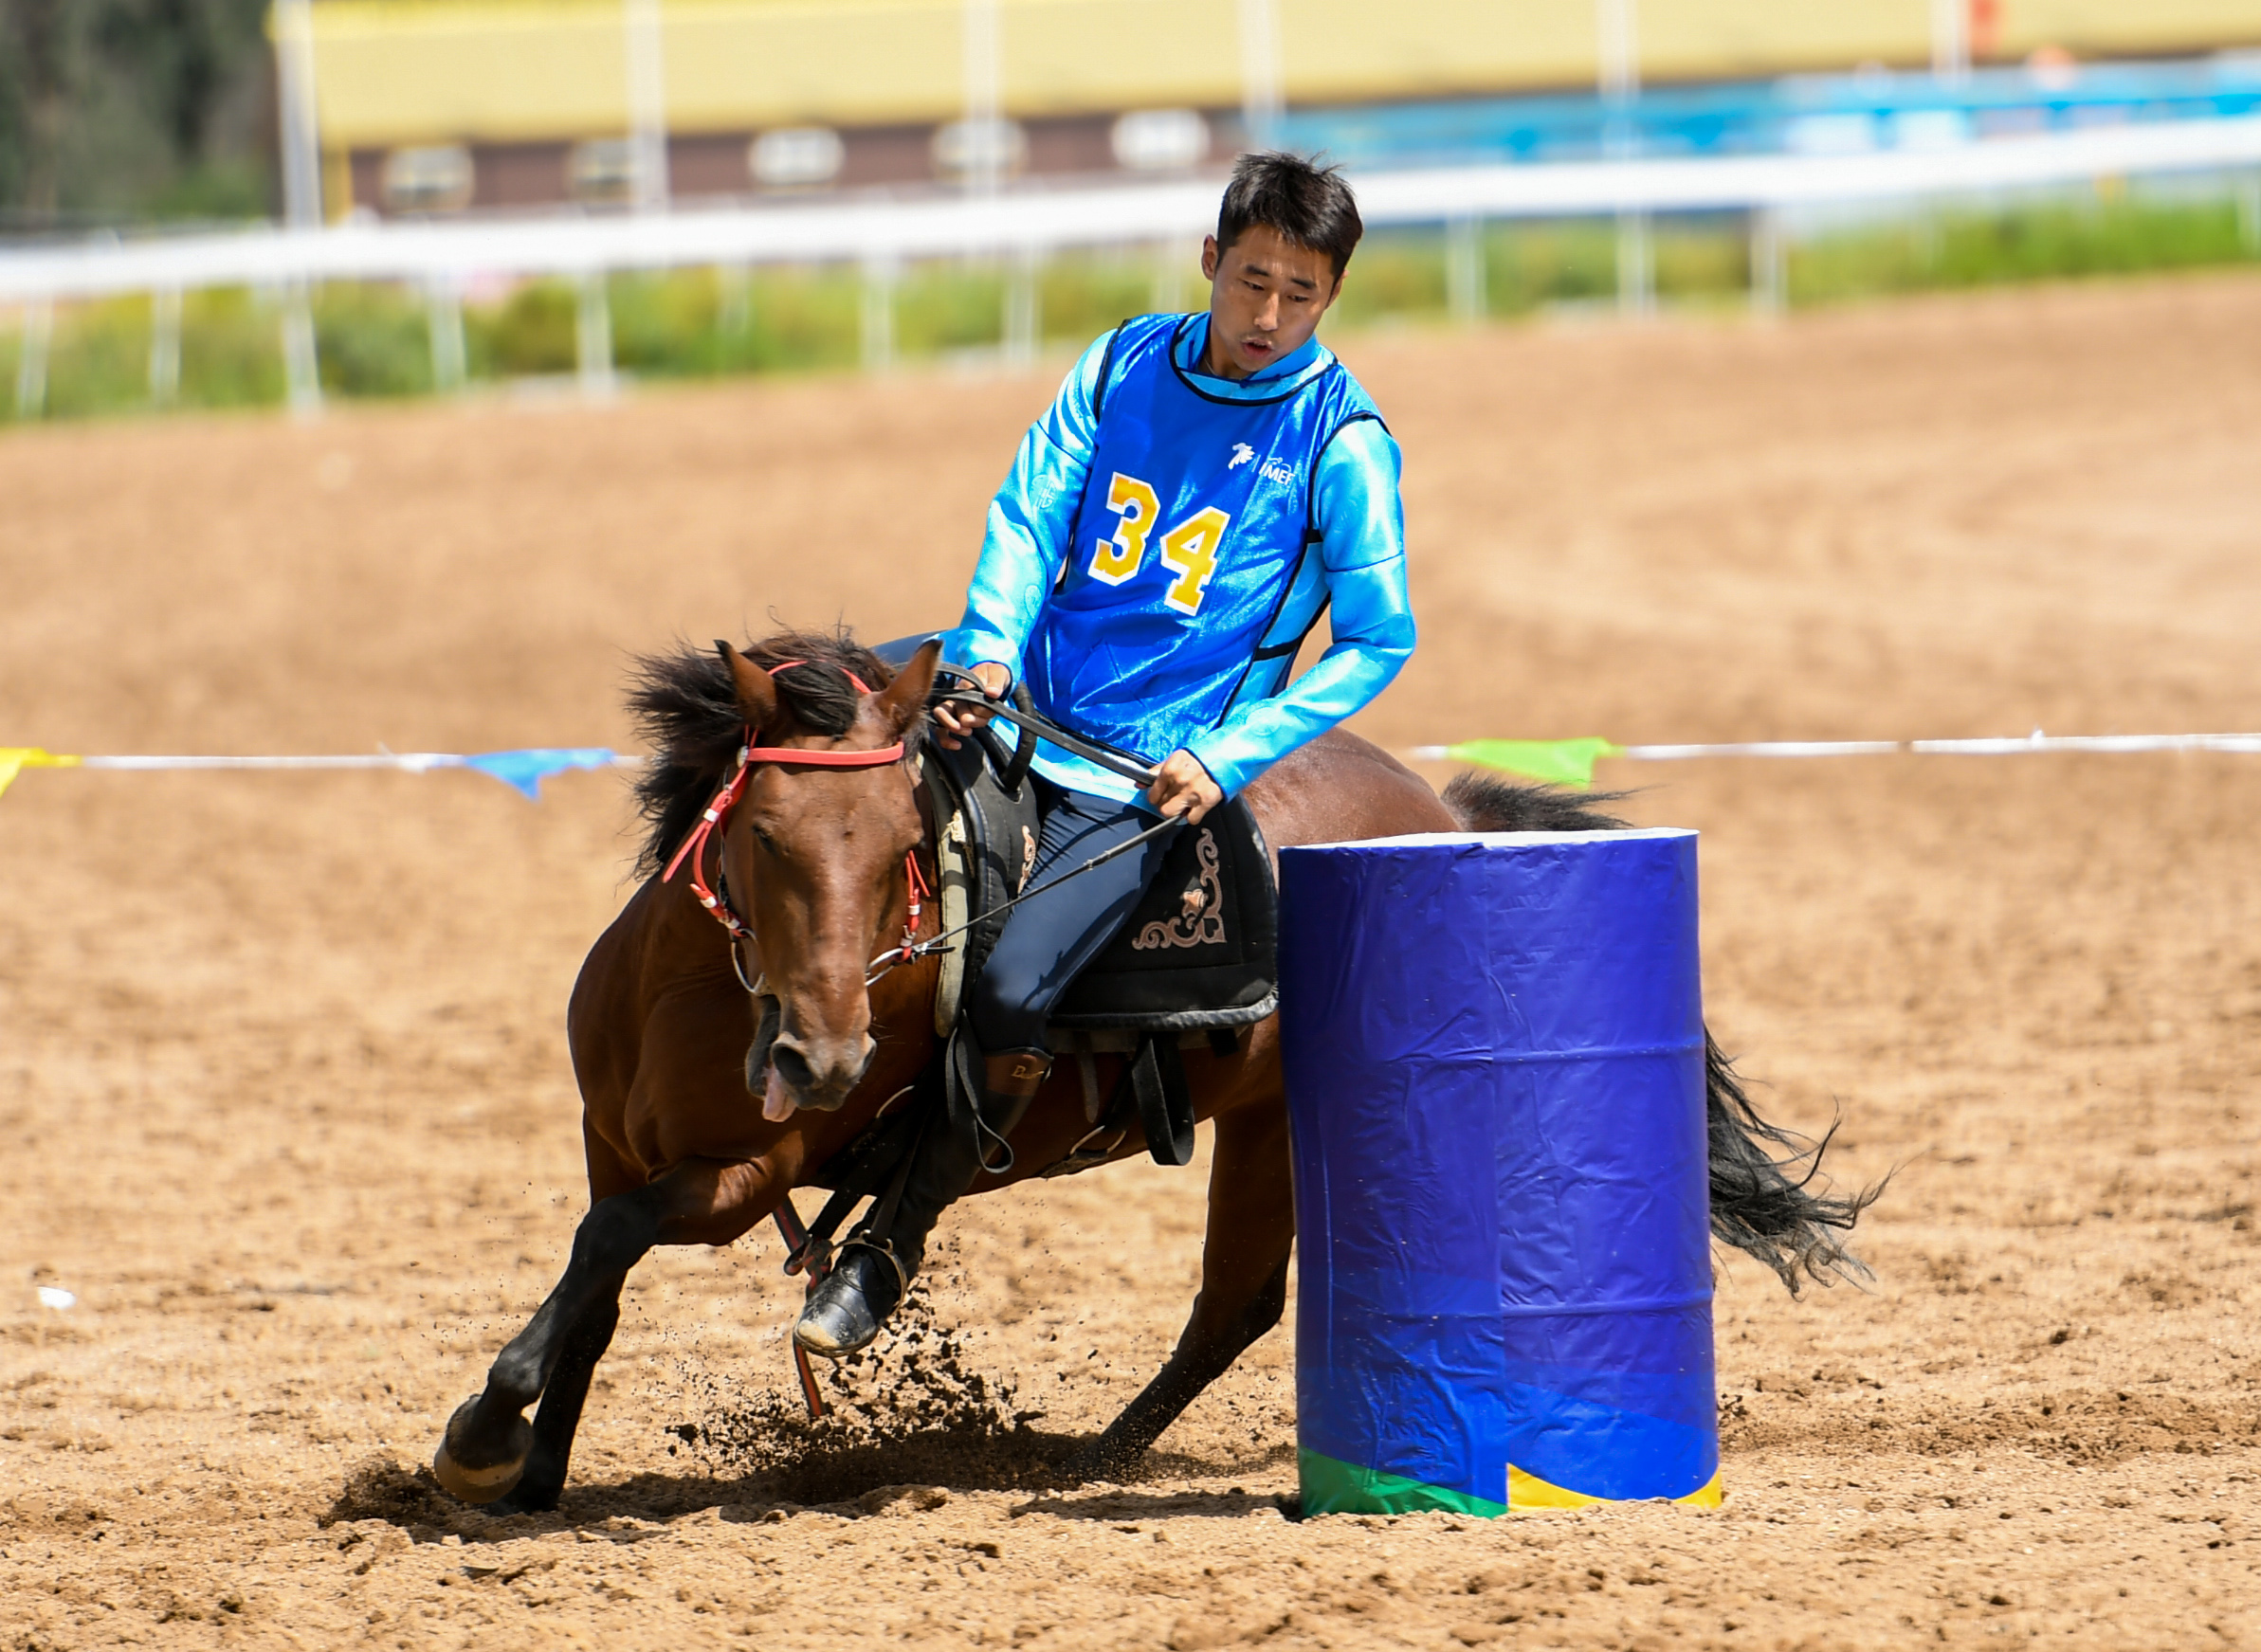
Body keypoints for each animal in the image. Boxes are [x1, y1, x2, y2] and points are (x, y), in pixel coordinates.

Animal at [427, 627, 1871, 1509]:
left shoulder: (742, 1175)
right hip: (1268, 1122)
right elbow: (595, 1281)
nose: (821, 1054)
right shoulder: (604, 1134)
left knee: (1231, 1304)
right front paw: (535, 1472)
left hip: (1276, 1117)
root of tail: (1439, 810)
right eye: (768, 833)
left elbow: (614, 1238)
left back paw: (1070, 1461)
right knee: (1235, 1302)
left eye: (902, 842)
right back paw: (1092, 1454)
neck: (697, 993)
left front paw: (484, 1435)